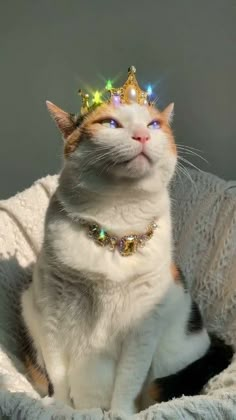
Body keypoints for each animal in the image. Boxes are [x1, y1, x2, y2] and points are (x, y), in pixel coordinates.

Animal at [20, 96, 232, 414]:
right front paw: (59, 410)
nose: (142, 135)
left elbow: (128, 380)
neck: (116, 227)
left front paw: (120, 414)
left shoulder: (143, 326)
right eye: (110, 123)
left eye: (154, 124)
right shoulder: (51, 314)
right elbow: (58, 374)